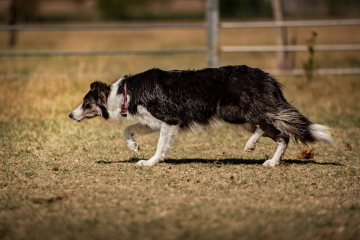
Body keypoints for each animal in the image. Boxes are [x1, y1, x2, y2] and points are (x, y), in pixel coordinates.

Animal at [69, 65, 334, 167]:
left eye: (86, 103)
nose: (70, 115)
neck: (124, 93)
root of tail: (266, 77)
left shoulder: (169, 121)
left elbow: (159, 146)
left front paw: (151, 162)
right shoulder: (155, 121)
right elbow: (128, 128)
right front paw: (133, 146)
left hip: (232, 111)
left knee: (267, 122)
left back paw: (251, 144)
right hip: (244, 116)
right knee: (282, 136)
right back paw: (271, 161)